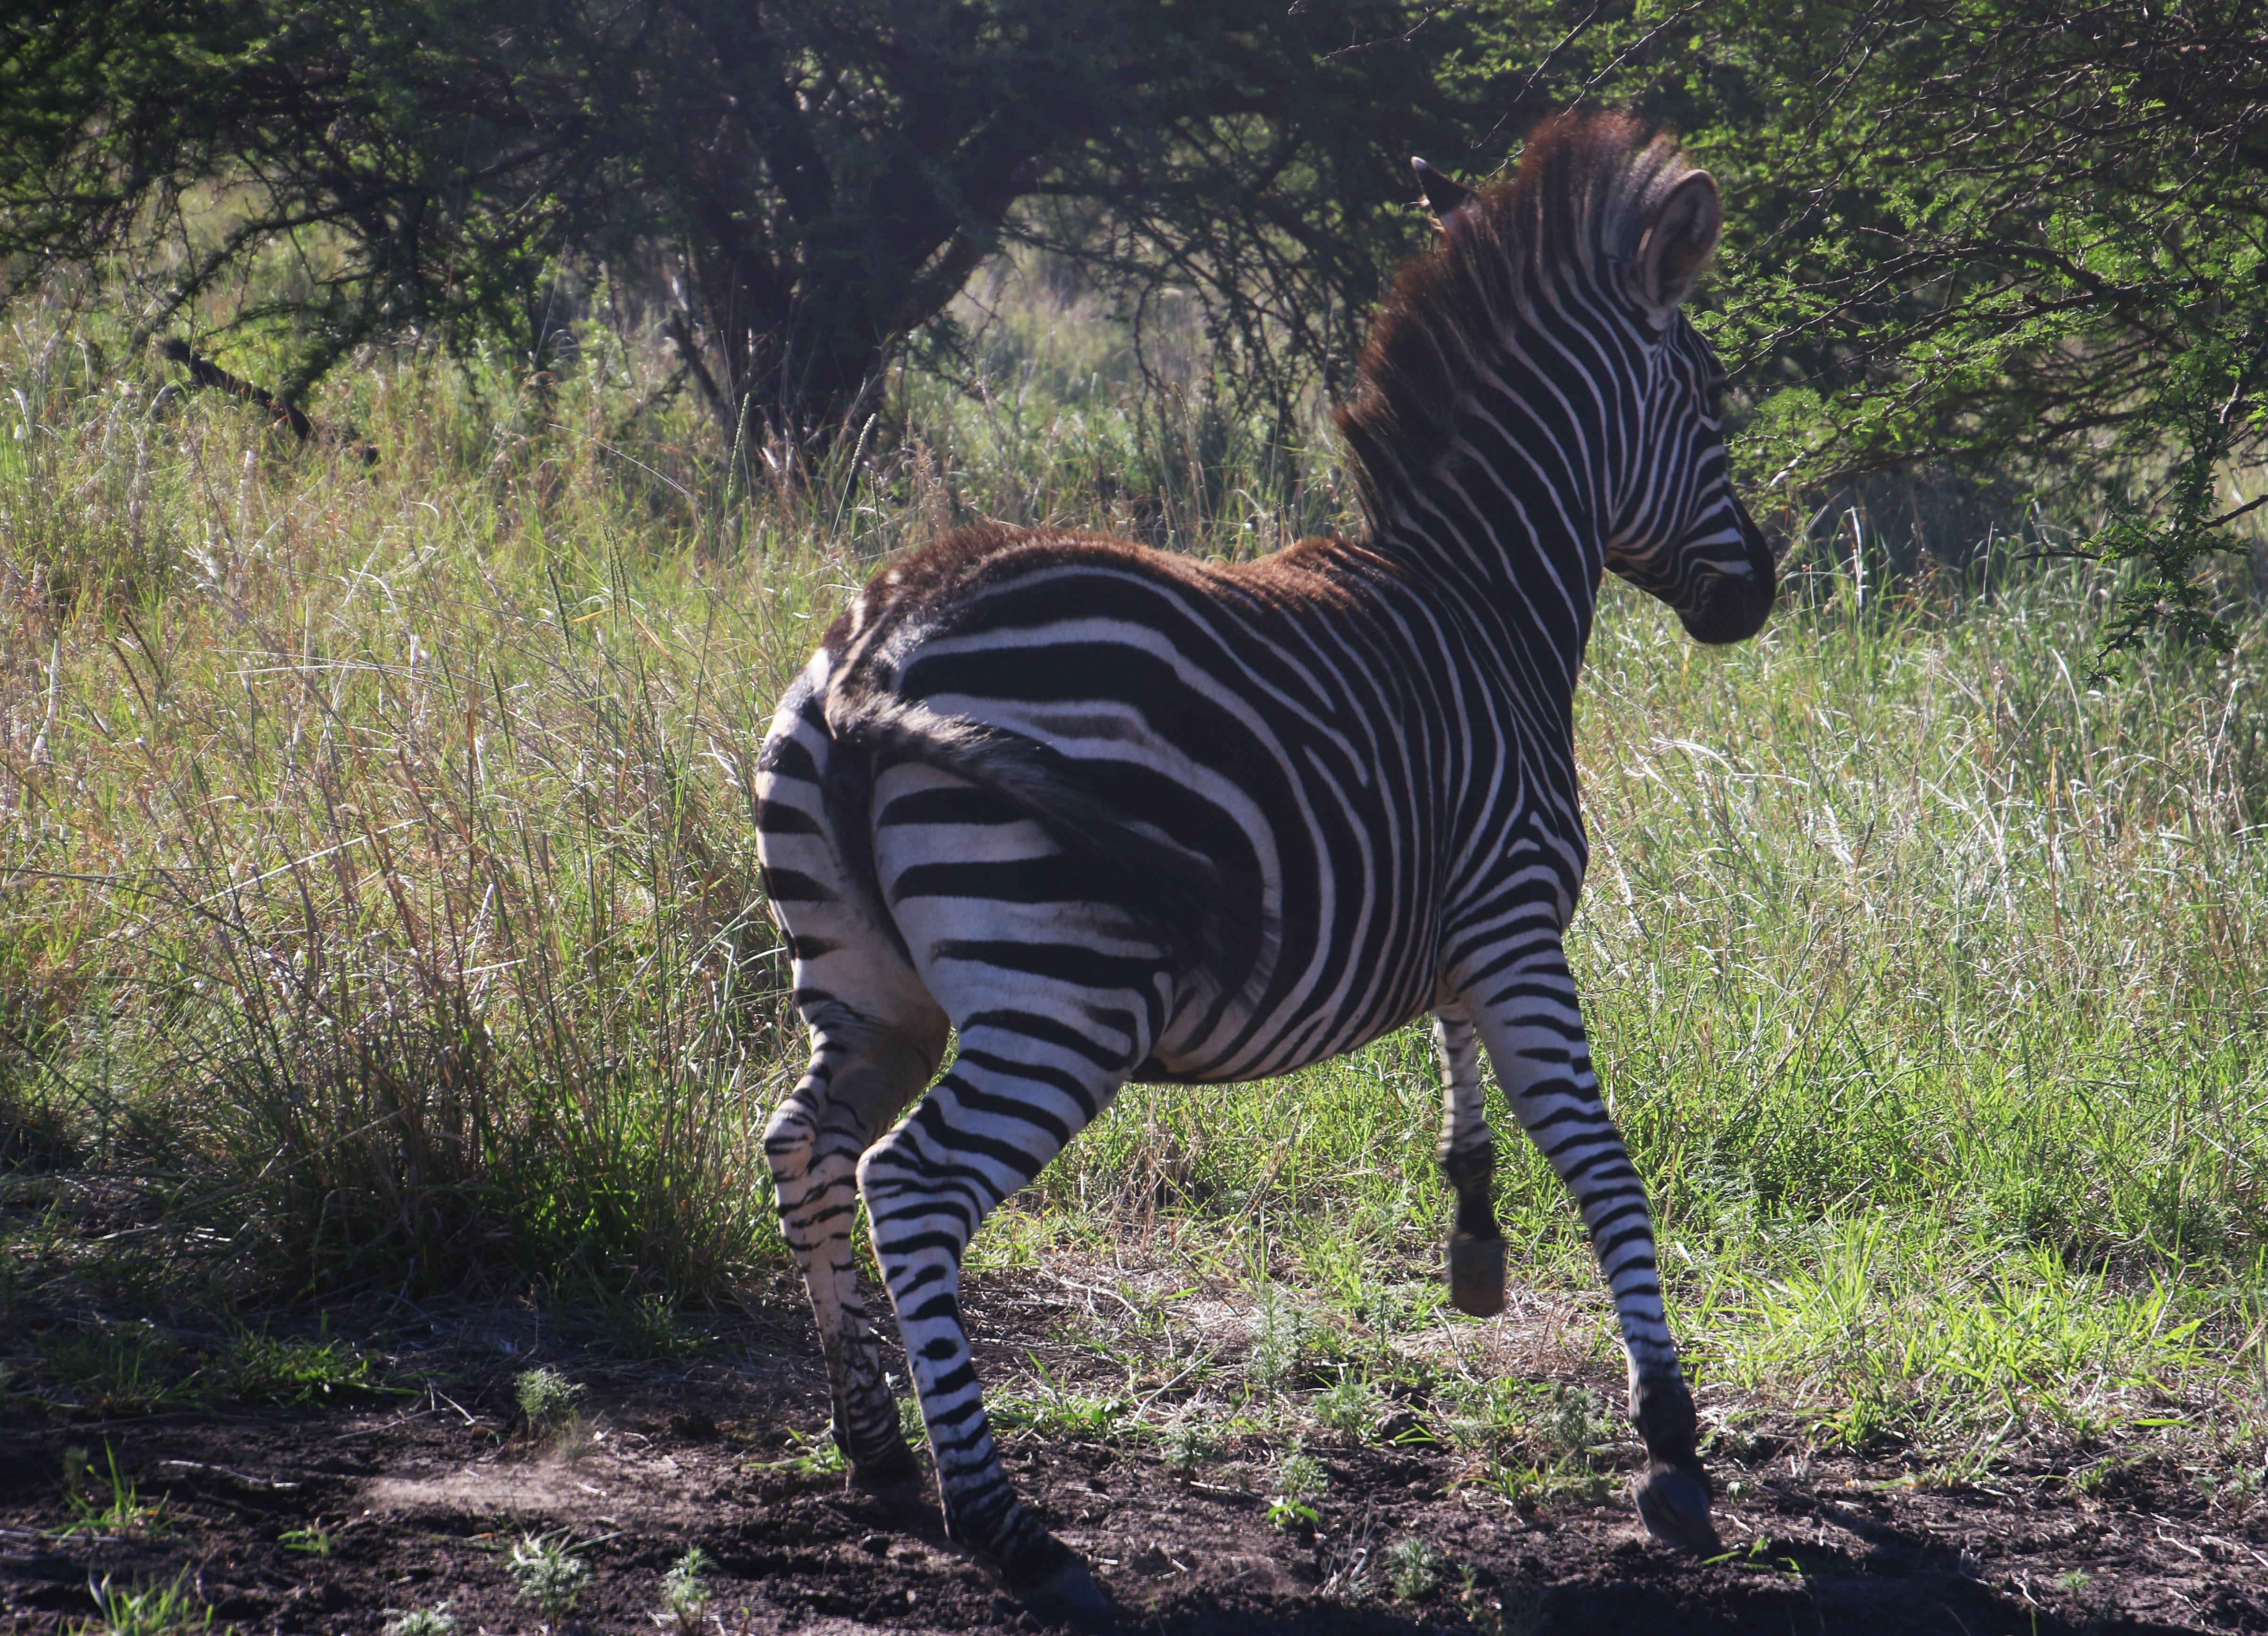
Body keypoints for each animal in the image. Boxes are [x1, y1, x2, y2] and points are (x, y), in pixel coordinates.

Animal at [753, 114, 1778, 1624]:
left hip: (868, 989)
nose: (1754, 595)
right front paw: (1670, 1444)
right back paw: (1007, 1527)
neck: (1486, 597)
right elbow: (1599, 1157)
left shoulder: (1458, 921)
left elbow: (1467, 1081)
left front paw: (1474, 1240)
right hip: (1060, 993)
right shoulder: (1519, 920)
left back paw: (873, 1449)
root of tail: (878, 647)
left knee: (808, 1148)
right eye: (1711, 408)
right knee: (911, 1188)